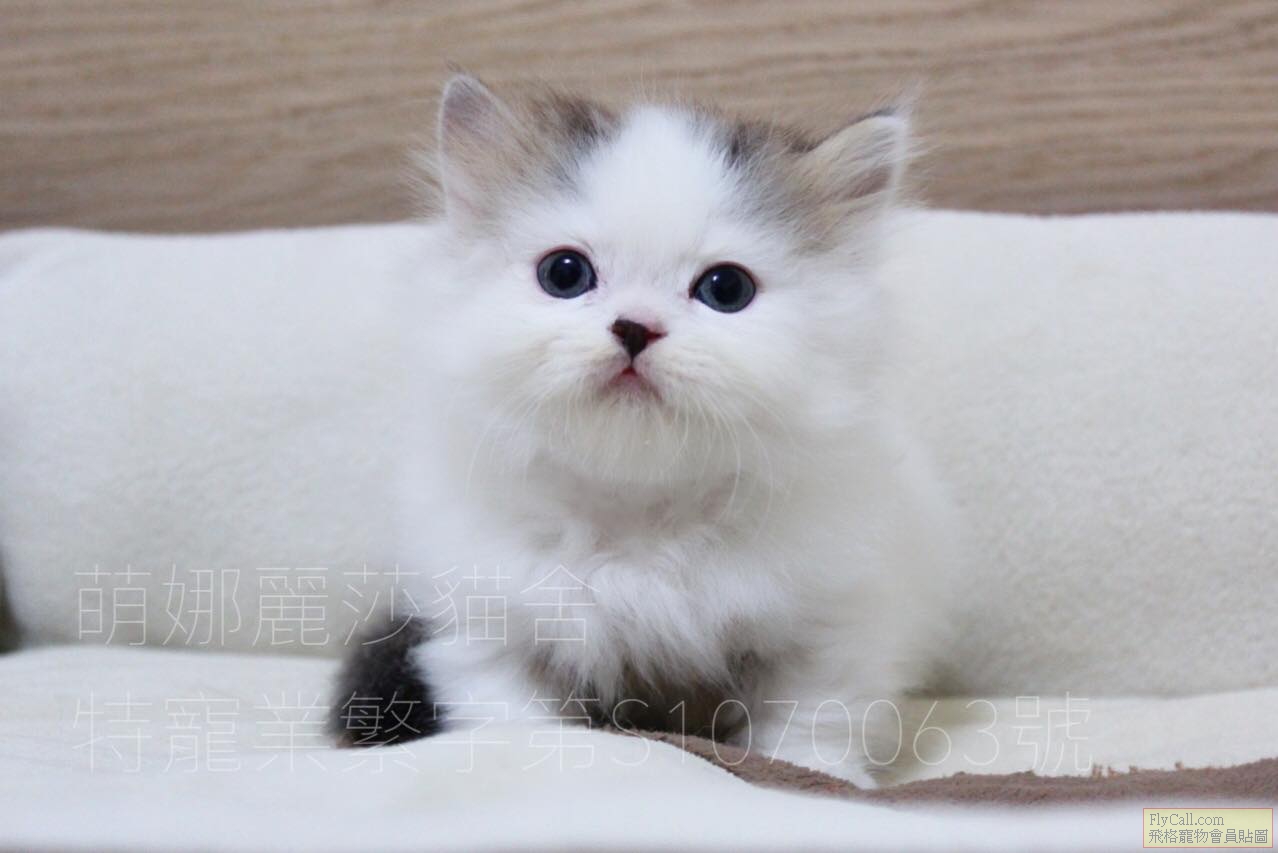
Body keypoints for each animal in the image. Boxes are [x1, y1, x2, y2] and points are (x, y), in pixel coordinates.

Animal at [329, 73, 955, 787]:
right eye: (565, 273)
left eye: (725, 288)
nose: (635, 327)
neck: (639, 517)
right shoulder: (490, 626)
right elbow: (515, 718)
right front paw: (524, 762)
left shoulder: (832, 622)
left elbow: (811, 720)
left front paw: (823, 779)